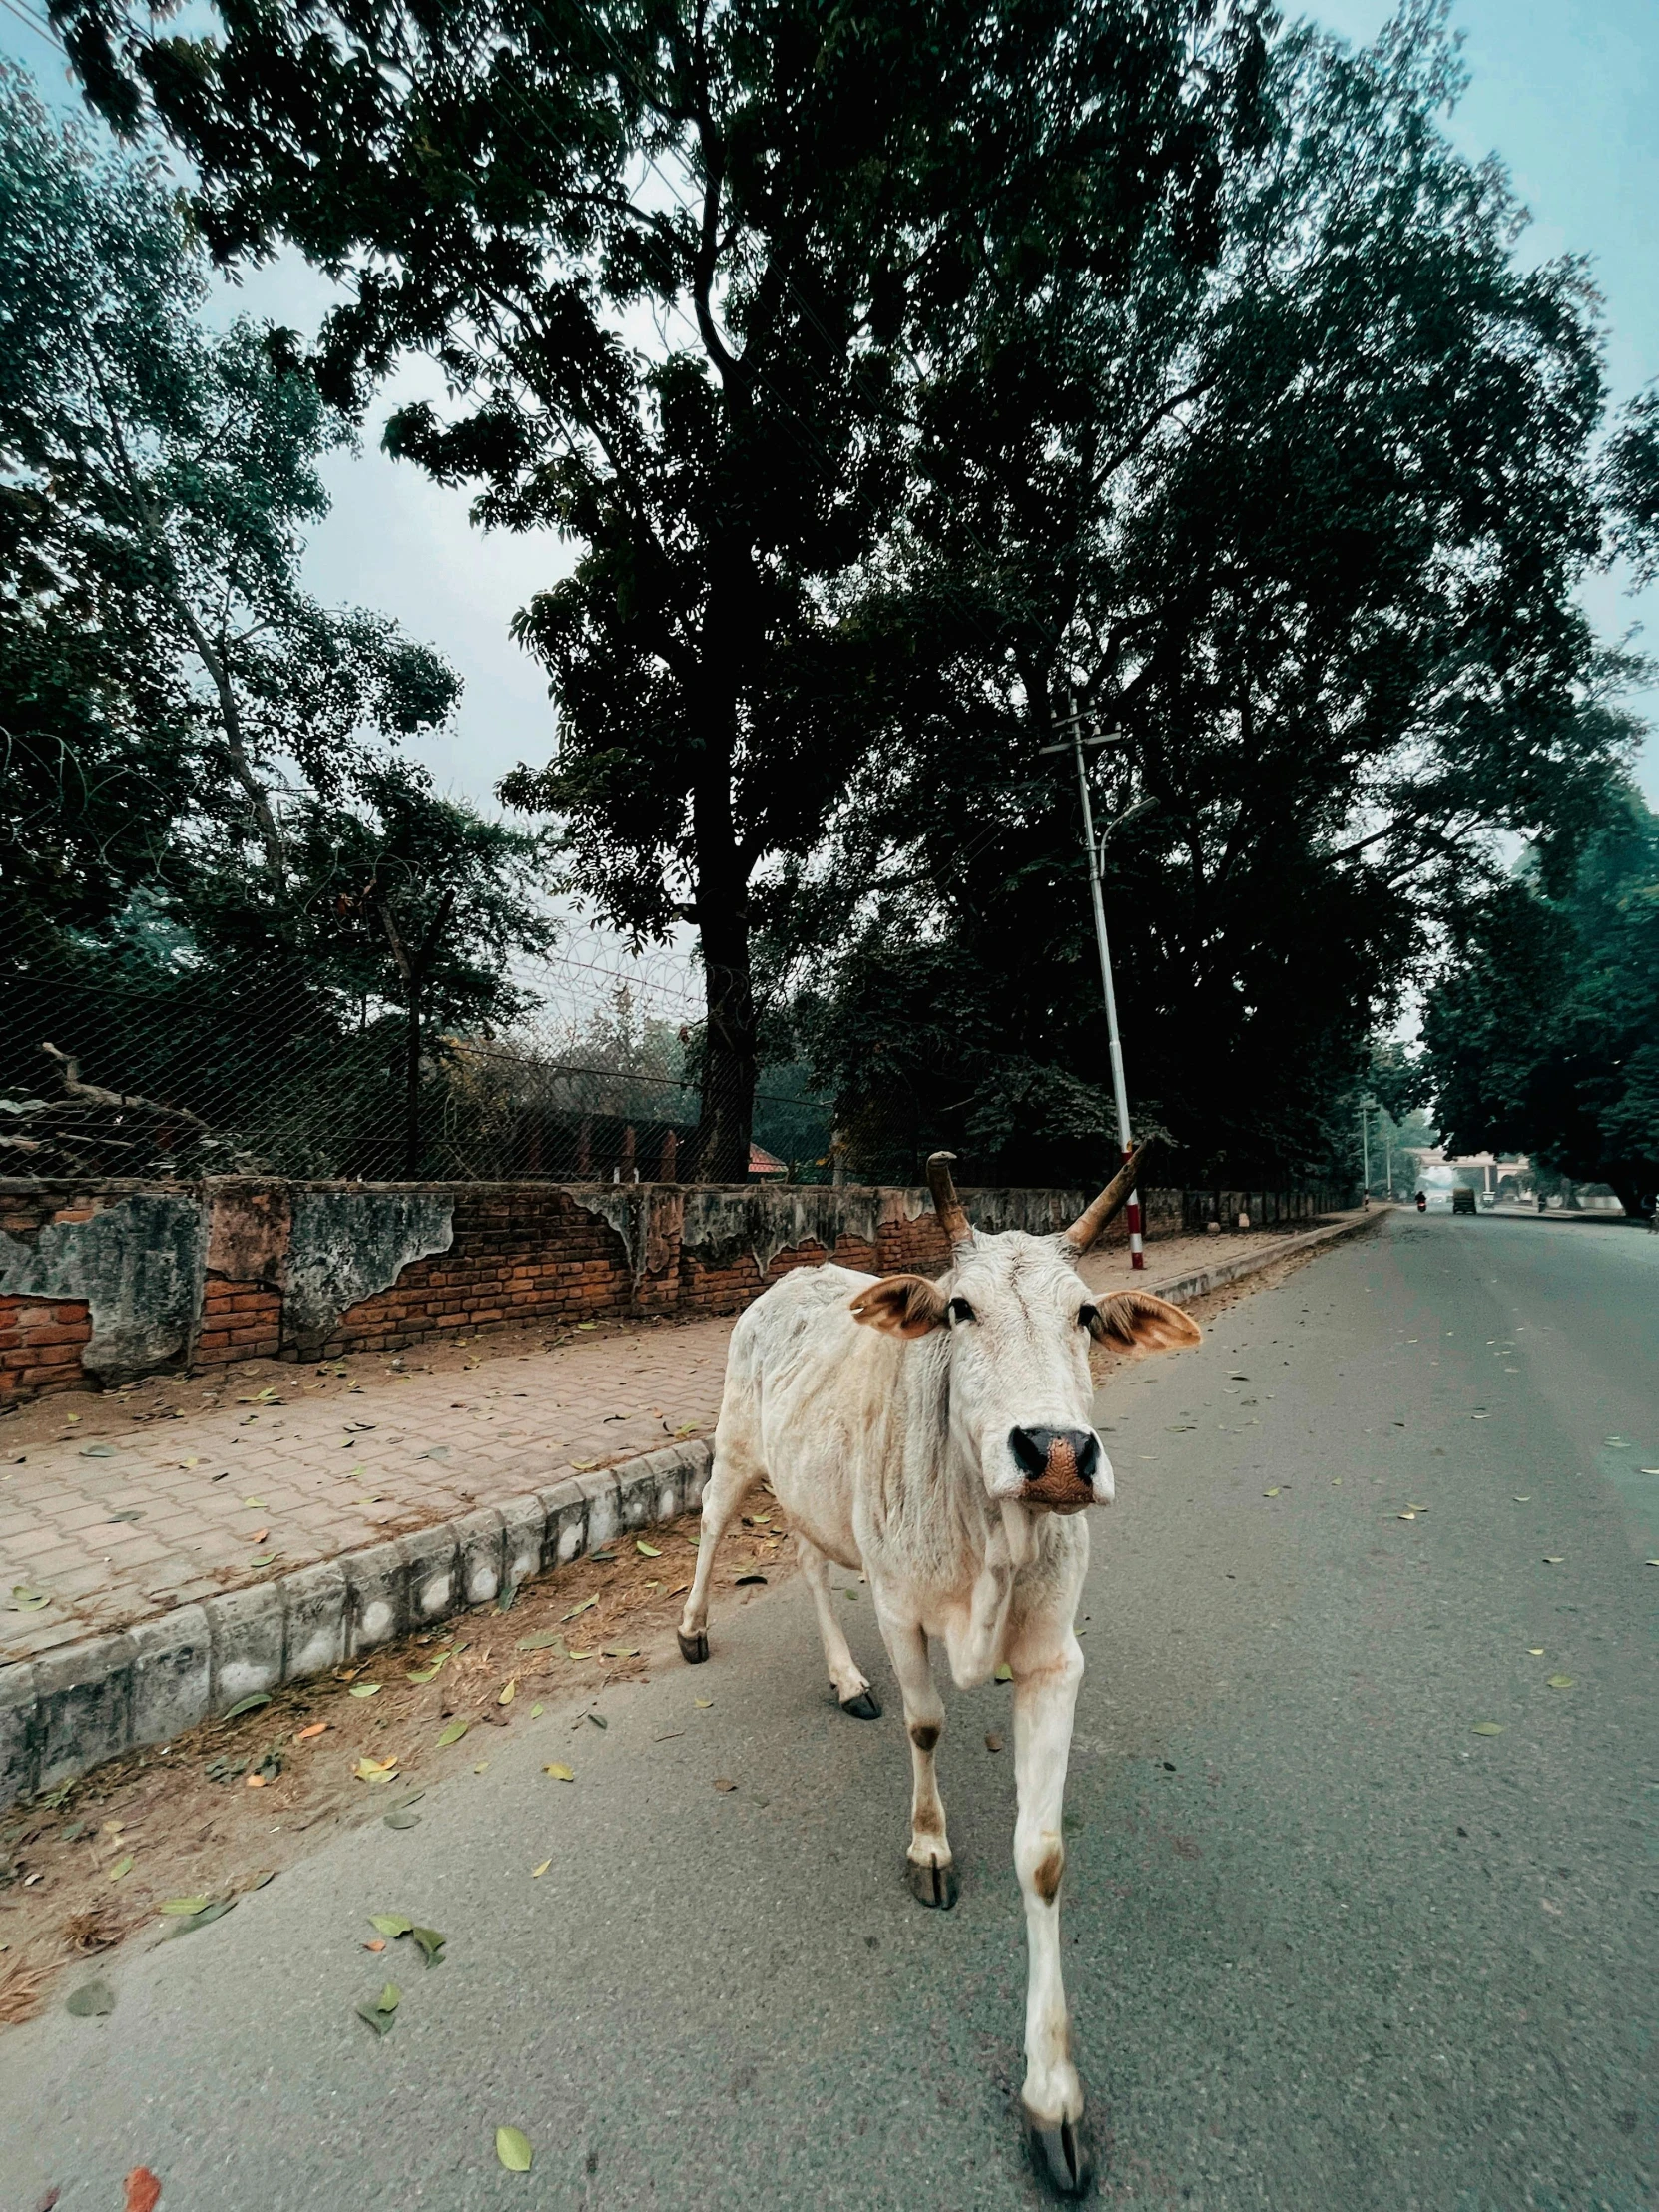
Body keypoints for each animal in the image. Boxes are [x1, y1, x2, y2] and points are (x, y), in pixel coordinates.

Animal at [677, 1150, 1212, 2185]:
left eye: (1087, 1314)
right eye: (960, 1308)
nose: (1057, 1455)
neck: (989, 1538)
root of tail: (796, 1279)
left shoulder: (1054, 1660)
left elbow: (1042, 1858)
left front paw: (1053, 2099)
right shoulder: (900, 1609)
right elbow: (926, 1726)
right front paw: (929, 1847)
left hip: (811, 1493)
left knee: (809, 1564)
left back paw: (846, 1681)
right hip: (738, 1445)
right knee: (716, 1523)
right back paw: (690, 1630)